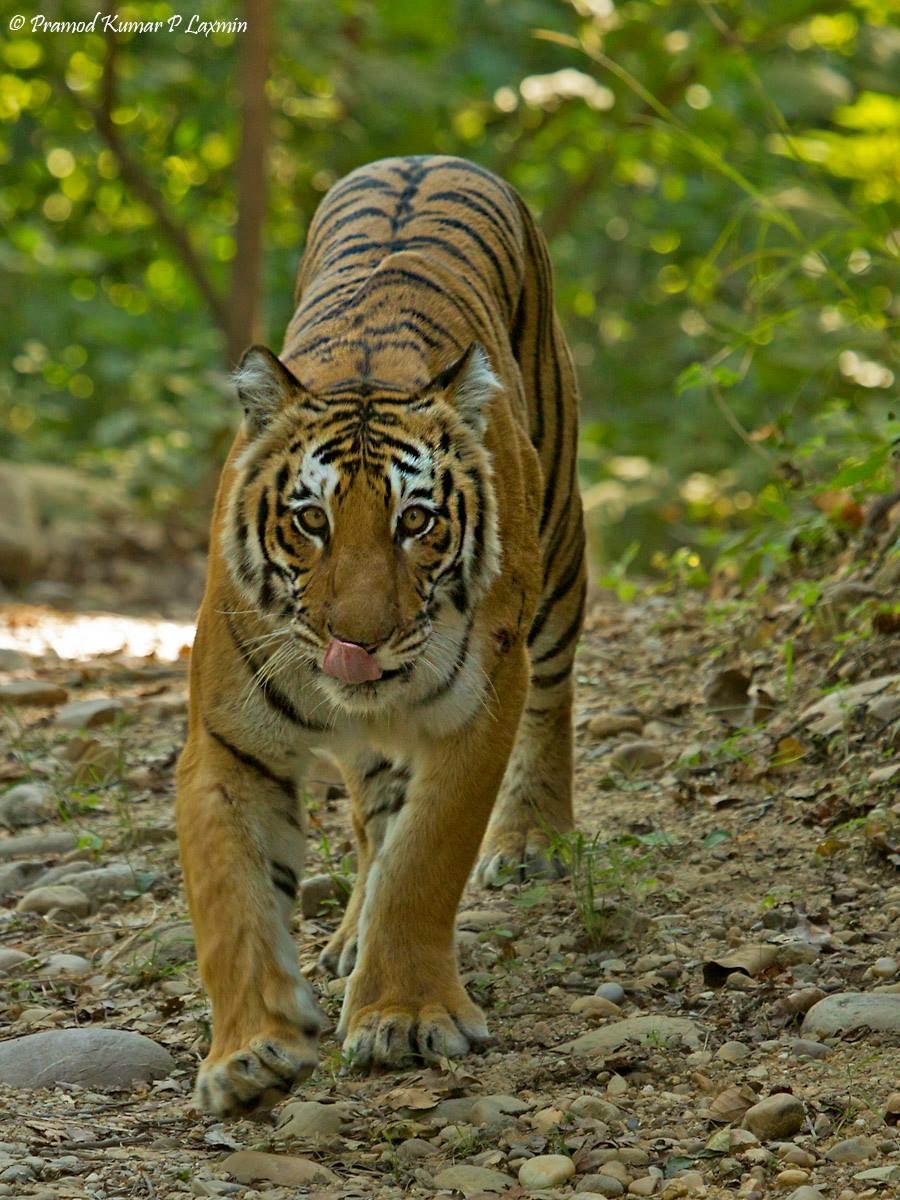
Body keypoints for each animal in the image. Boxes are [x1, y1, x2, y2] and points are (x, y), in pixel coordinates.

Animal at [177, 152, 588, 1113]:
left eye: (416, 521)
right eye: (310, 521)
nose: (355, 642)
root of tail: (427, 156)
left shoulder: (477, 711)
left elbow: (425, 859)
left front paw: (404, 1017)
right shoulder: (226, 743)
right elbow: (230, 898)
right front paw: (248, 1052)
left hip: (558, 558)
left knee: (552, 700)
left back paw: (531, 843)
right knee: (371, 814)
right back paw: (347, 938)